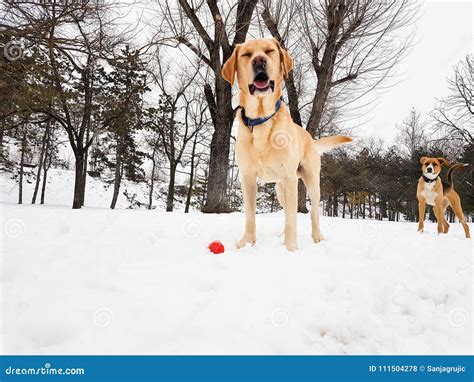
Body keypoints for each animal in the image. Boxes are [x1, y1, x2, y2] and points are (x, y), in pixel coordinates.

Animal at [222, 38, 352, 252]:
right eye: (247, 54)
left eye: (269, 51)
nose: (259, 60)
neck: (261, 119)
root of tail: (309, 137)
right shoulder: (247, 178)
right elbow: (250, 216)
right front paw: (247, 243)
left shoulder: (290, 179)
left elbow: (293, 218)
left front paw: (291, 248)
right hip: (280, 189)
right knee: (285, 213)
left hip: (310, 182)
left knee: (313, 212)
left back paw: (316, 237)